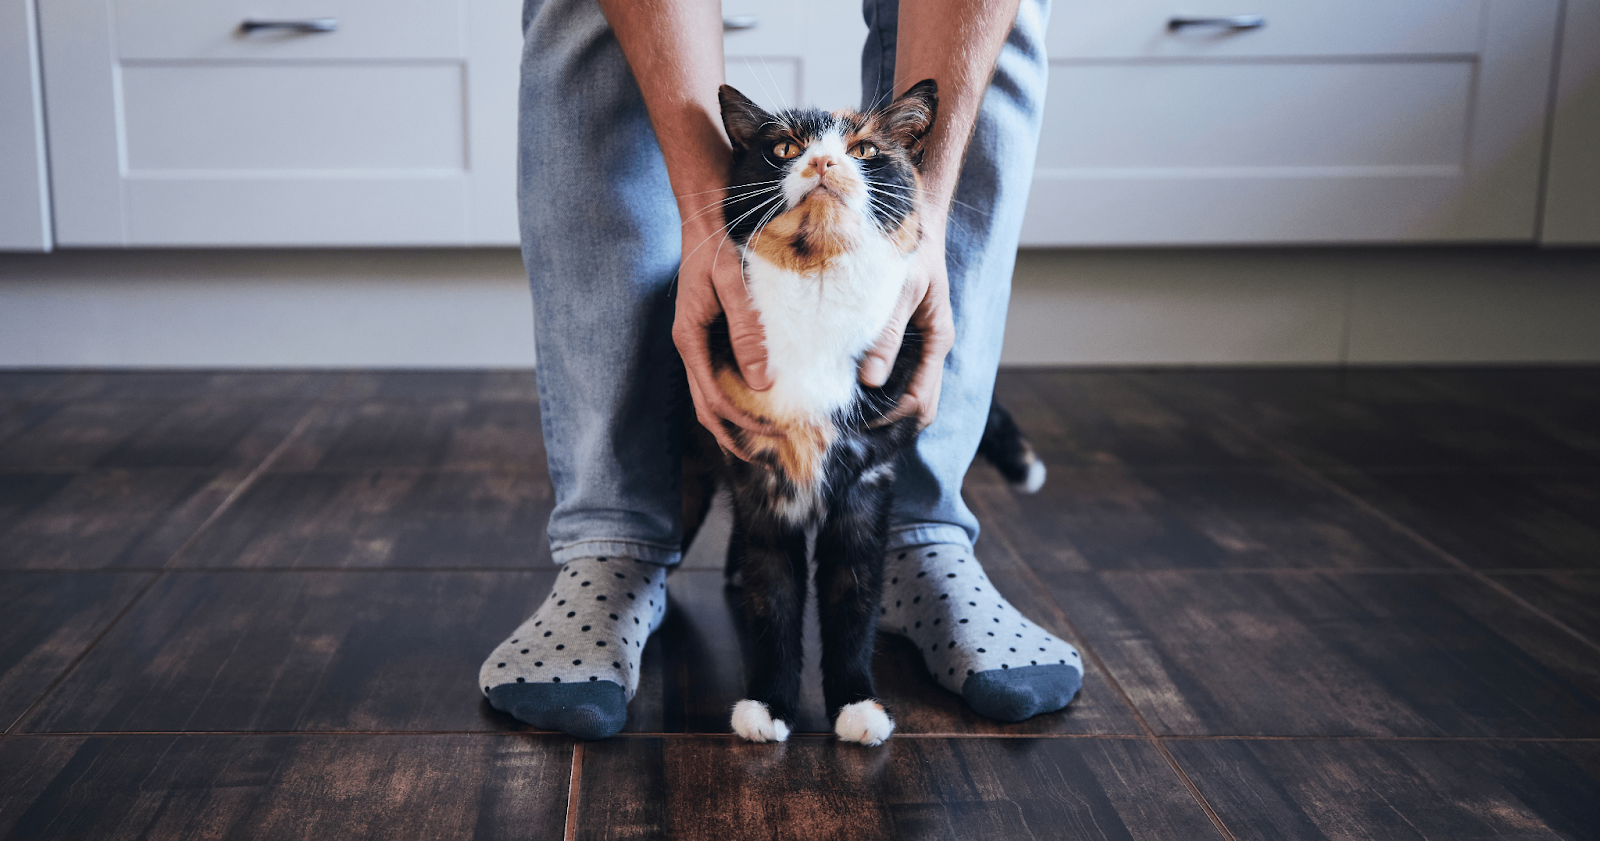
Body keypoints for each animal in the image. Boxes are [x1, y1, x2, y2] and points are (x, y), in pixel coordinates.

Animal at [681, 82, 1043, 748]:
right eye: (783, 147)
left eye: (866, 149)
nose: (824, 162)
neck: (818, 288)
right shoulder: (761, 473)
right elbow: (773, 598)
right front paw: (768, 704)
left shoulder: (868, 481)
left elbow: (853, 598)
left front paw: (856, 704)